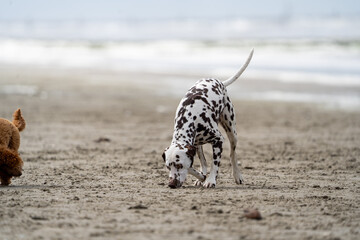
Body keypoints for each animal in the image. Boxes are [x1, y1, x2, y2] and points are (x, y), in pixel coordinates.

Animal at [163, 48, 253, 188]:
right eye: (168, 167)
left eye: (179, 165)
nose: (171, 184)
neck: (190, 118)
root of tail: (219, 81)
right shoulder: (194, 146)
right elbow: (199, 164)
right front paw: (201, 177)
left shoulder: (218, 140)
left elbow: (214, 163)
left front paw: (210, 180)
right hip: (200, 144)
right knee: (204, 161)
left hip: (232, 132)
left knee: (233, 154)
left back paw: (237, 176)